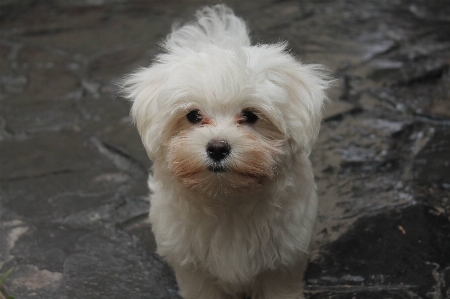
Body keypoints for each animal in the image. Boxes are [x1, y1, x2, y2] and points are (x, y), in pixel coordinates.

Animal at [121, 4, 332, 299]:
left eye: (251, 116)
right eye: (193, 115)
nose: (217, 147)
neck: (226, 197)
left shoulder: (284, 259)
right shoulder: (192, 266)